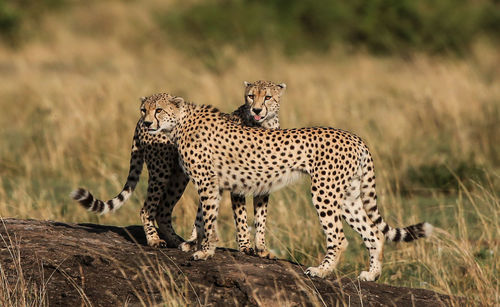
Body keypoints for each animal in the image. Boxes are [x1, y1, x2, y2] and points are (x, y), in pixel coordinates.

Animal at [72, 80, 288, 256]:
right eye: (251, 96)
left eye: (267, 97)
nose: (257, 110)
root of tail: (140, 123)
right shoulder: (236, 184)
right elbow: (241, 217)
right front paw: (245, 246)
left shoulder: (260, 184)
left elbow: (260, 217)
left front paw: (261, 248)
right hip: (162, 171)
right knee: (148, 208)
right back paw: (155, 240)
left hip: (179, 178)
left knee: (163, 211)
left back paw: (177, 241)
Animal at [142, 95, 434, 282]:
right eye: (143, 109)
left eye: (158, 110)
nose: (145, 123)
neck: (180, 123)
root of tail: (356, 137)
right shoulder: (214, 183)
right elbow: (203, 217)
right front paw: (194, 244)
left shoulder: (207, 182)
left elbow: (209, 217)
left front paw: (204, 251)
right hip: (348, 196)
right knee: (373, 233)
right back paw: (371, 275)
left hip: (324, 192)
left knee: (339, 238)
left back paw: (321, 271)